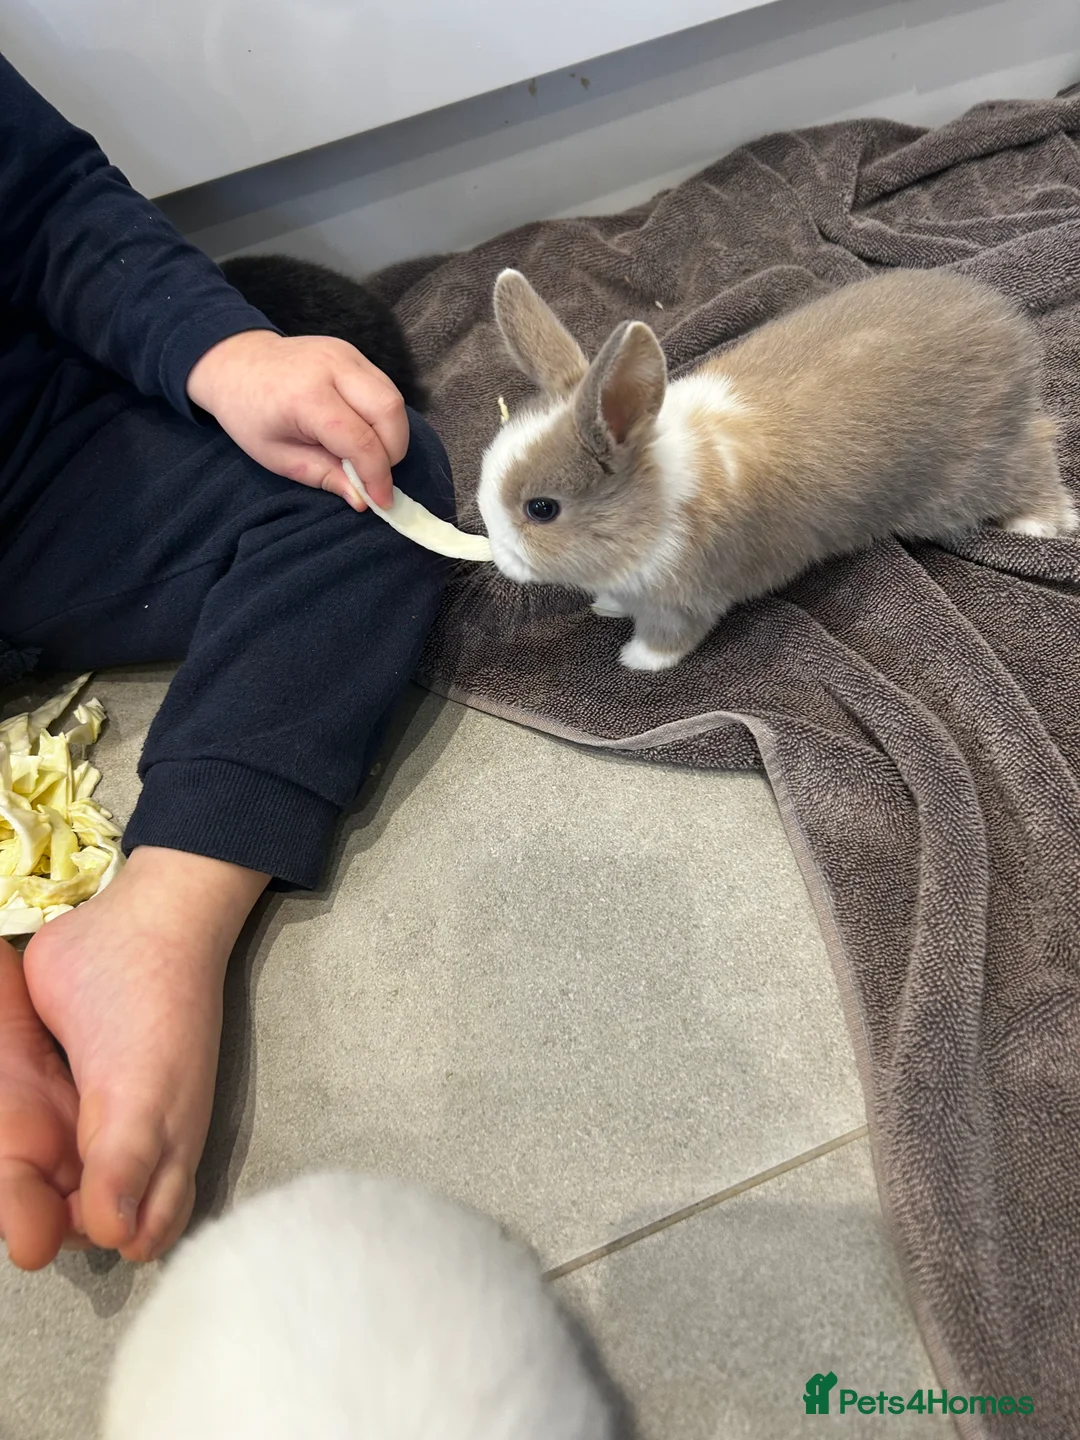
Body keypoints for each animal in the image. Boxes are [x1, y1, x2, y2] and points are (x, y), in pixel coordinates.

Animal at [478, 268, 1076, 671]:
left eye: (542, 509)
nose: (499, 560)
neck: (652, 499)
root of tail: (1010, 326)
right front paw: (605, 606)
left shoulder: (684, 599)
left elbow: (670, 635)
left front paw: (637, 660)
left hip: (965, 480)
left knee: (1038, 450)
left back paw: (1042, 523)